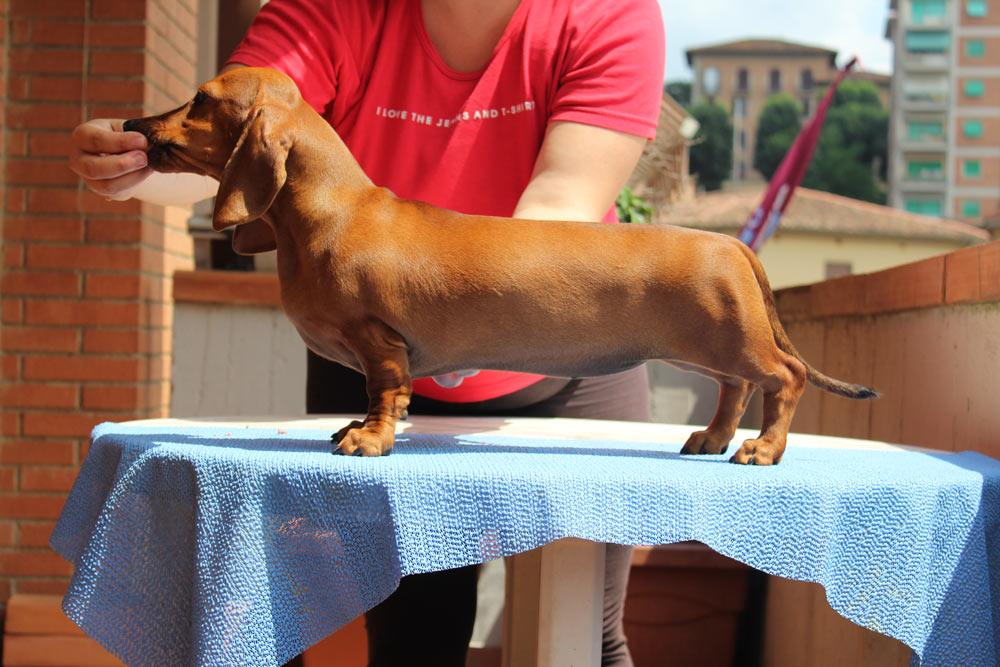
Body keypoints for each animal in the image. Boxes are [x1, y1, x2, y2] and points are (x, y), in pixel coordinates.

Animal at [123, 66, 876, 464]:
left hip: (736, 343)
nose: (133, 126)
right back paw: (713, 438)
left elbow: (385, 395)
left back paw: (761, 450)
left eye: (199, 101)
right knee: (735, 389)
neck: (337, 211)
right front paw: (352, 428)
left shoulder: (380, 341)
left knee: (784, 379)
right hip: (712, 349)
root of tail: (731, 243)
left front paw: (368, 438)